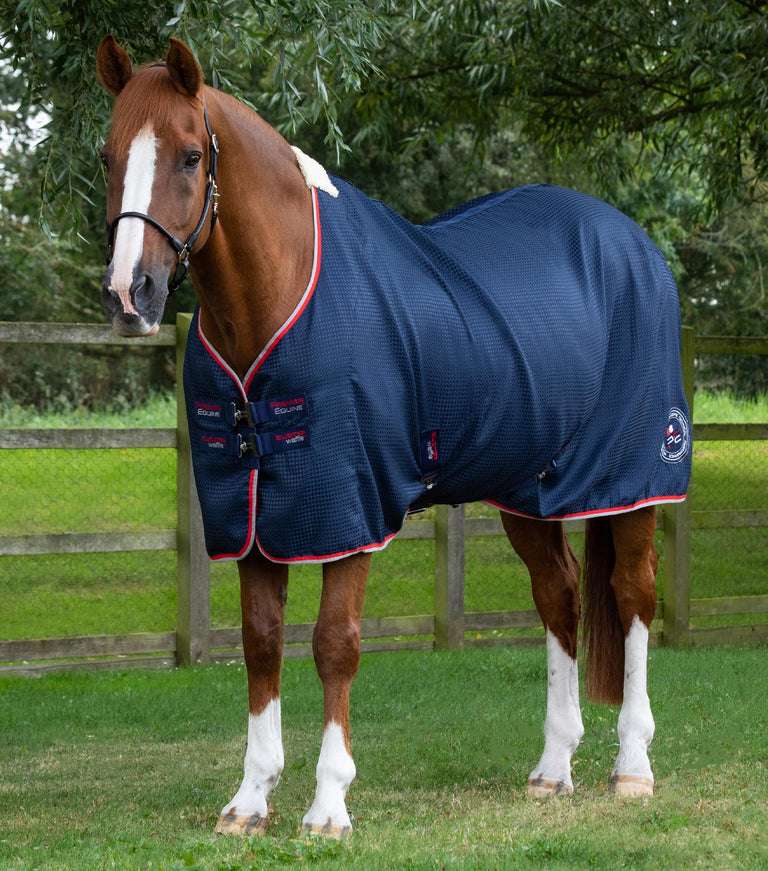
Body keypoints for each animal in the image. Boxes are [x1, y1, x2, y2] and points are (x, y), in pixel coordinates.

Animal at [96, 35, 691, 837]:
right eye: (107, 155)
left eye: (191, 156)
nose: (130, 295)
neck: (286, 285)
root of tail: (635, 246)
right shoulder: (252, 513)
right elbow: (260, 641)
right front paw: (250, 799)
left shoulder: (348, 507)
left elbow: (334, 644)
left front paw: (328, 804)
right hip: (527, 487)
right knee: (559, 595)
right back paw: (552, 768)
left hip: (633, 479)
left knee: (631, 597)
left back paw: (632, 767)